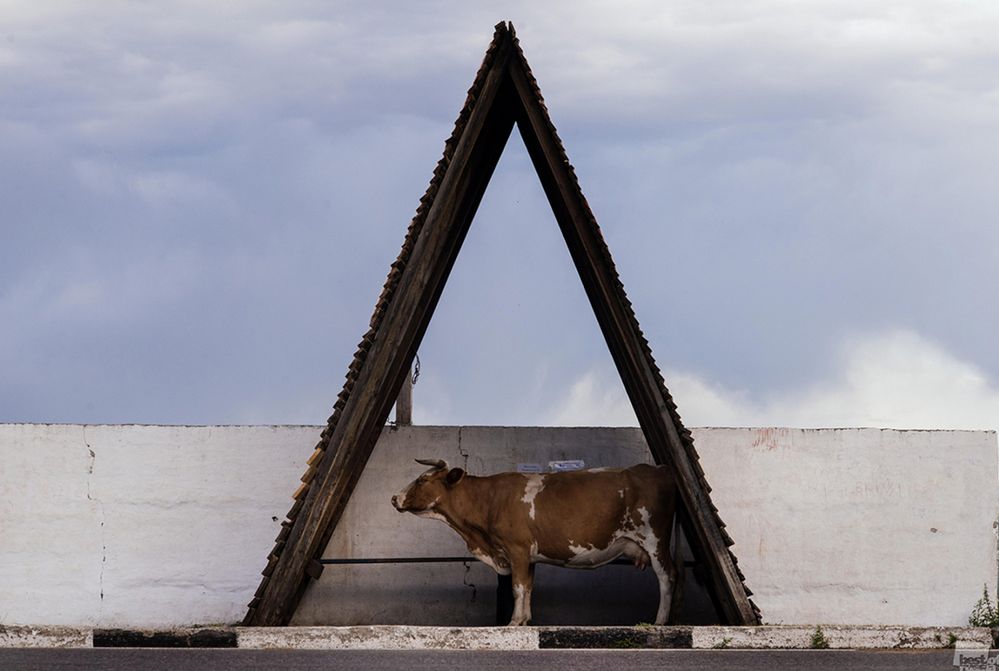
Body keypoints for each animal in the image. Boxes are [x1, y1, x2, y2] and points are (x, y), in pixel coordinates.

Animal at [390, 460, 680, 628]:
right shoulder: (528, 556)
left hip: (654, 539)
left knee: (667, 576)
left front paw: (513, 622)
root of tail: (657, 468)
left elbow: (517, 588)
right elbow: (528, 587)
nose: (394, 498)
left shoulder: (516, 549)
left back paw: (660, 621)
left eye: (422, 479)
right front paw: (525, 620)